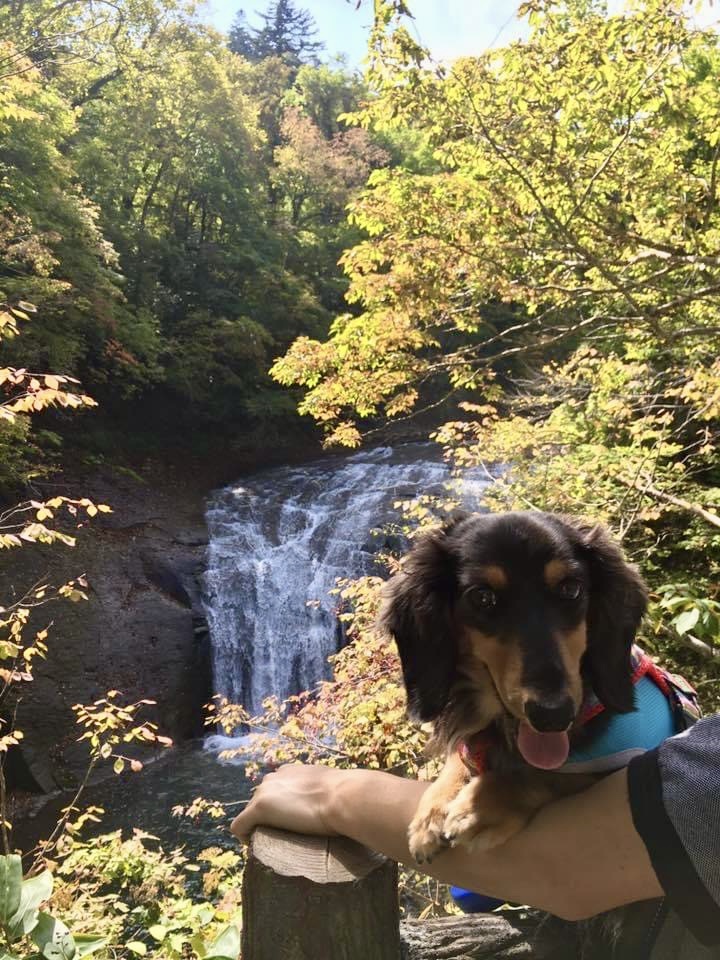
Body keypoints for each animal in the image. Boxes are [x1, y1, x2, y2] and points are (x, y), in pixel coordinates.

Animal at [380, 512, 648, 868]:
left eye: (571, 589)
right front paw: (431, 813)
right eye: (482, 596)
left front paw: (480, 806)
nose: (553, 715)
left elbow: (551, 774)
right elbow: (462, 754)